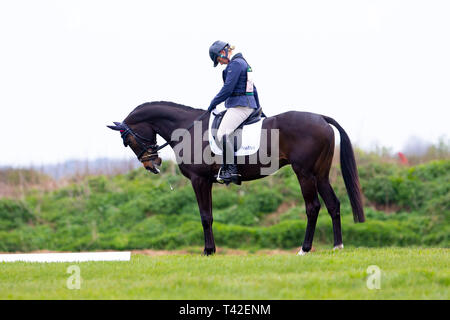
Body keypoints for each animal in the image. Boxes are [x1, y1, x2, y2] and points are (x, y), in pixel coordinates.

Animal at [107, 101, 364, 256]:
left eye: (128, 140)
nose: (152, 165)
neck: (188, 128)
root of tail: (320, 117)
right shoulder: (206, 182)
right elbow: (209, 216)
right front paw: (211, 250)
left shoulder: (199, 180)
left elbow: (205, 217)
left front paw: (207, 251)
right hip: (320, 175)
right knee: (333, 204)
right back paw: (337, 246)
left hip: (304, 173)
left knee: (313, 207)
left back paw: (304, 249)